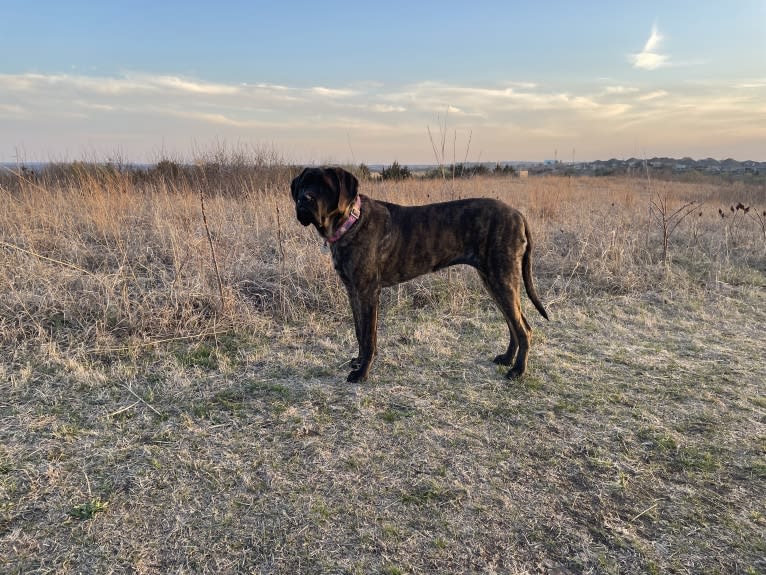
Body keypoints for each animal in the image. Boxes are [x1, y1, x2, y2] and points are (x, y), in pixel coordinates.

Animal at [292, 166, 548, 382]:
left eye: (325, 186)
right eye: (303, 185)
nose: (304, 199)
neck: (350, 222)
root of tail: (518, 215)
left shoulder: (367, 292)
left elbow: (368, 337)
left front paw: (362, 372)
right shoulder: (353, 291)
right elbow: (359, 331)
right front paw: (358, 362)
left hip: (502, 280)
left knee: (523, 328)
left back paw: (518, 370)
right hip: (493, 282)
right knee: (514, 323)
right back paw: (507, 359)